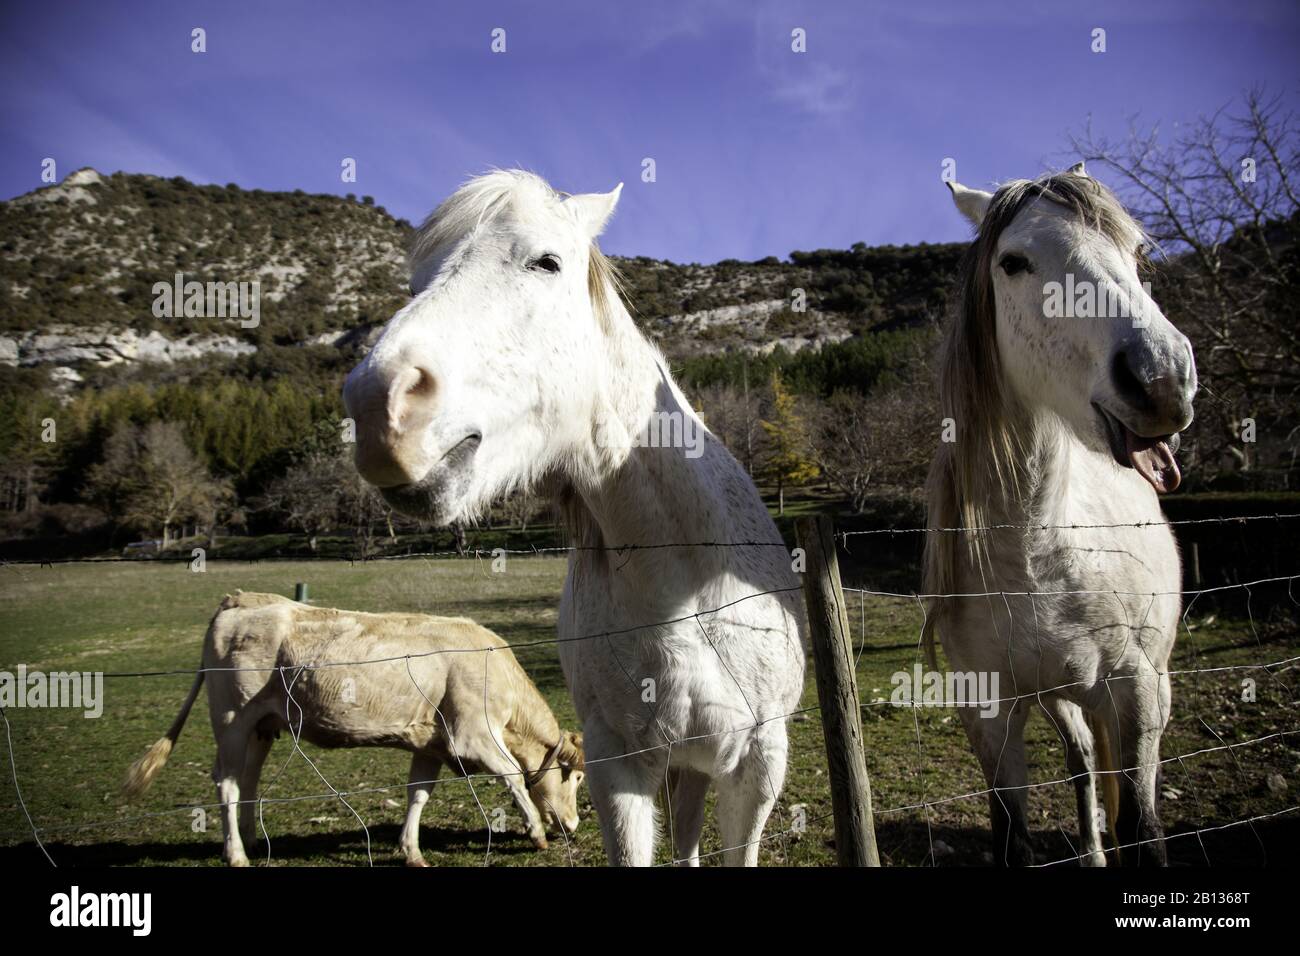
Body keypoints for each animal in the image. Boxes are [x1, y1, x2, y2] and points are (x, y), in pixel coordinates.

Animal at [342, 170, 806, 866]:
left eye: (547, 262)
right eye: (415, 283)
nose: (377, 407)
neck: (683, 586)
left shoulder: (757, 765)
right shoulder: (622, 767)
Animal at [923, 164, 1197, 866]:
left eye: (1137, 254)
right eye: (1014, 262)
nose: (1161, 380)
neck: (1037, 550)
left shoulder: (1137, 693)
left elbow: (1144, 827)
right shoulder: (991, 715)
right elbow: (1012, 834)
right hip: (1057, 698)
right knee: (1080, 760)